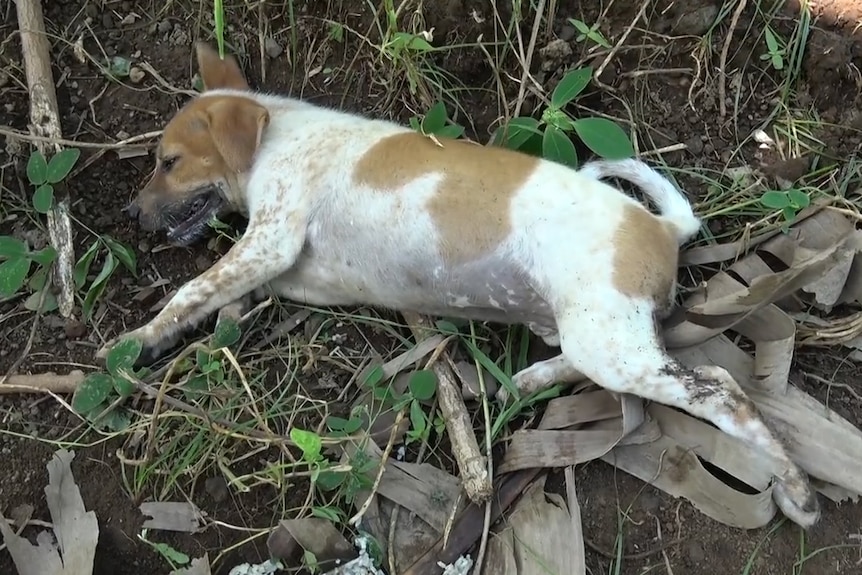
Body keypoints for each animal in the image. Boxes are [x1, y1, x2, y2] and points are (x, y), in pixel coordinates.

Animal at [98, 44, 820, 532]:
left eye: (169, 162)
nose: (130, 214)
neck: (277, 132)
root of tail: (665, 227)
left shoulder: (273, 236)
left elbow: (189, 291)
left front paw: (135, 343)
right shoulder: (306, 271)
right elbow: (231, 291)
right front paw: (223, 317)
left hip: (612, 342)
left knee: (722, 391)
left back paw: (796, 490)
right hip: (593, 333)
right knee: (584, 362)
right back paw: (526, 381)